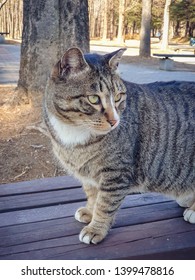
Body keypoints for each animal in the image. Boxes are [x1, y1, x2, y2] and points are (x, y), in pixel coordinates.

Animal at [43, 48, 195, 245]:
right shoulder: (89, 175)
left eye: (118, 97)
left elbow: (105, 204)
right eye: (94, 99)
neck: (75, 133)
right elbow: (93, 195)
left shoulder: (116, 174)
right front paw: (89, 211)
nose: (114, 121)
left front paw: (95, 228)